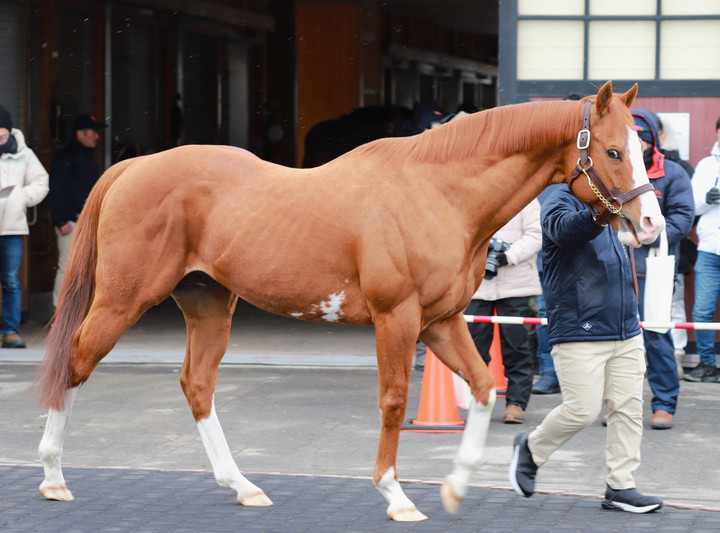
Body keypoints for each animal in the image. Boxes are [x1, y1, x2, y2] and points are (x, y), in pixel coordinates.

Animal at [34, 81, 664, 522]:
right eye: (613, 151)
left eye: (640, 147)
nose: (651, 225)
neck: (438, 191)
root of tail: (133, 165)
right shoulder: (397, 318)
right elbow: (393, 401)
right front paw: (396, 495)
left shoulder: (441, 321)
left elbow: (485, 388)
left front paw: (457, 486)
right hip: (122, 300)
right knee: (76, 361)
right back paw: (53, 477)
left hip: (209, 304)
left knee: (197, 386)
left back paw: (243, 486)